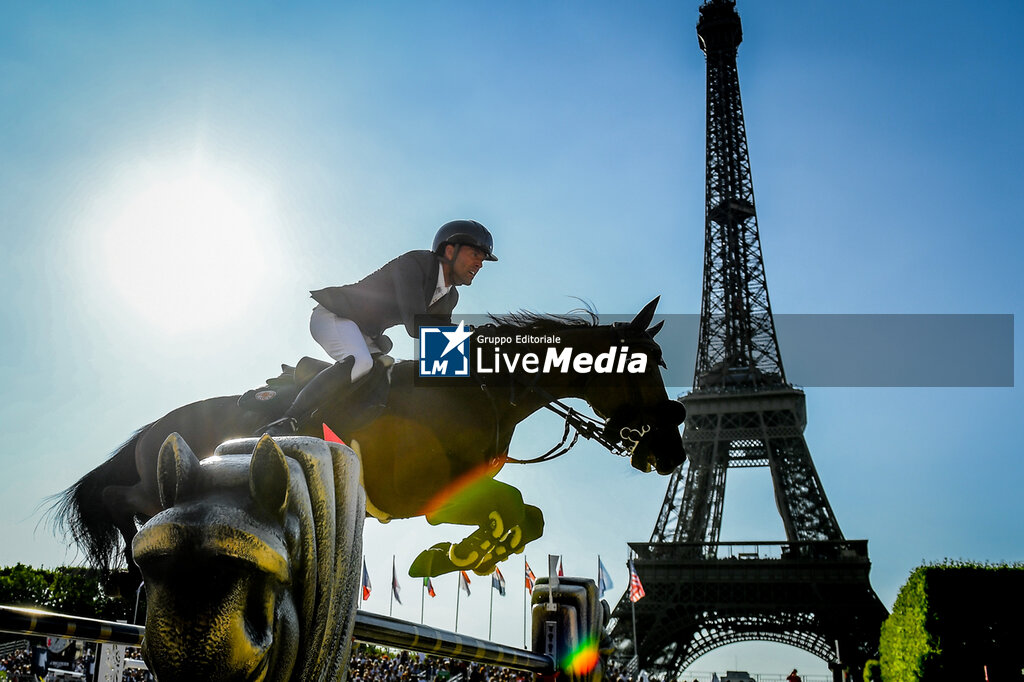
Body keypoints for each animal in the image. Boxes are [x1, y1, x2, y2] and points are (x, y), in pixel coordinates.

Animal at [51, 296, 684, 585]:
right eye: (645, 366)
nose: (670, 453)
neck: (480, 392)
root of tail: (158, 424)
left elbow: (529, 518)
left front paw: (463, 557)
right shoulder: (427, 498)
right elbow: (512, 510)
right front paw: (458, 554)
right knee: (119, 498)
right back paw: (127, 563)